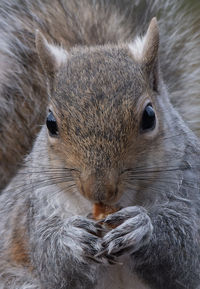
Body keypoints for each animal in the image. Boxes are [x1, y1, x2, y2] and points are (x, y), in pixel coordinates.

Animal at [0, 0, 200, 288]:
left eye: (149, 116)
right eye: (50, 122)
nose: (99, 190)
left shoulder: (192, 183)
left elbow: (187, 256)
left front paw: (142, 226)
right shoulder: (34, 210)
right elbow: (50, 260)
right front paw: (69, 239)